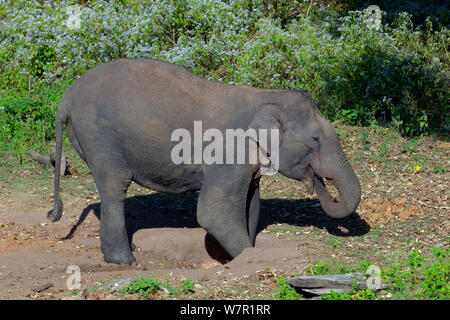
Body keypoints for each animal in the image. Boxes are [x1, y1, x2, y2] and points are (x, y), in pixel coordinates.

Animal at [47, 58, 360, 266]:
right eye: (315, 140)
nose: (319, 183)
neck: (264, 96)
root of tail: (66, 97)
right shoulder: (228, 153)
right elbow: (213, 212)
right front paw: (242, 257)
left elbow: (251, 204)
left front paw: (231, 256)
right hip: (99, 137)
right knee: (115, 188)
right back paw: (126, 261)